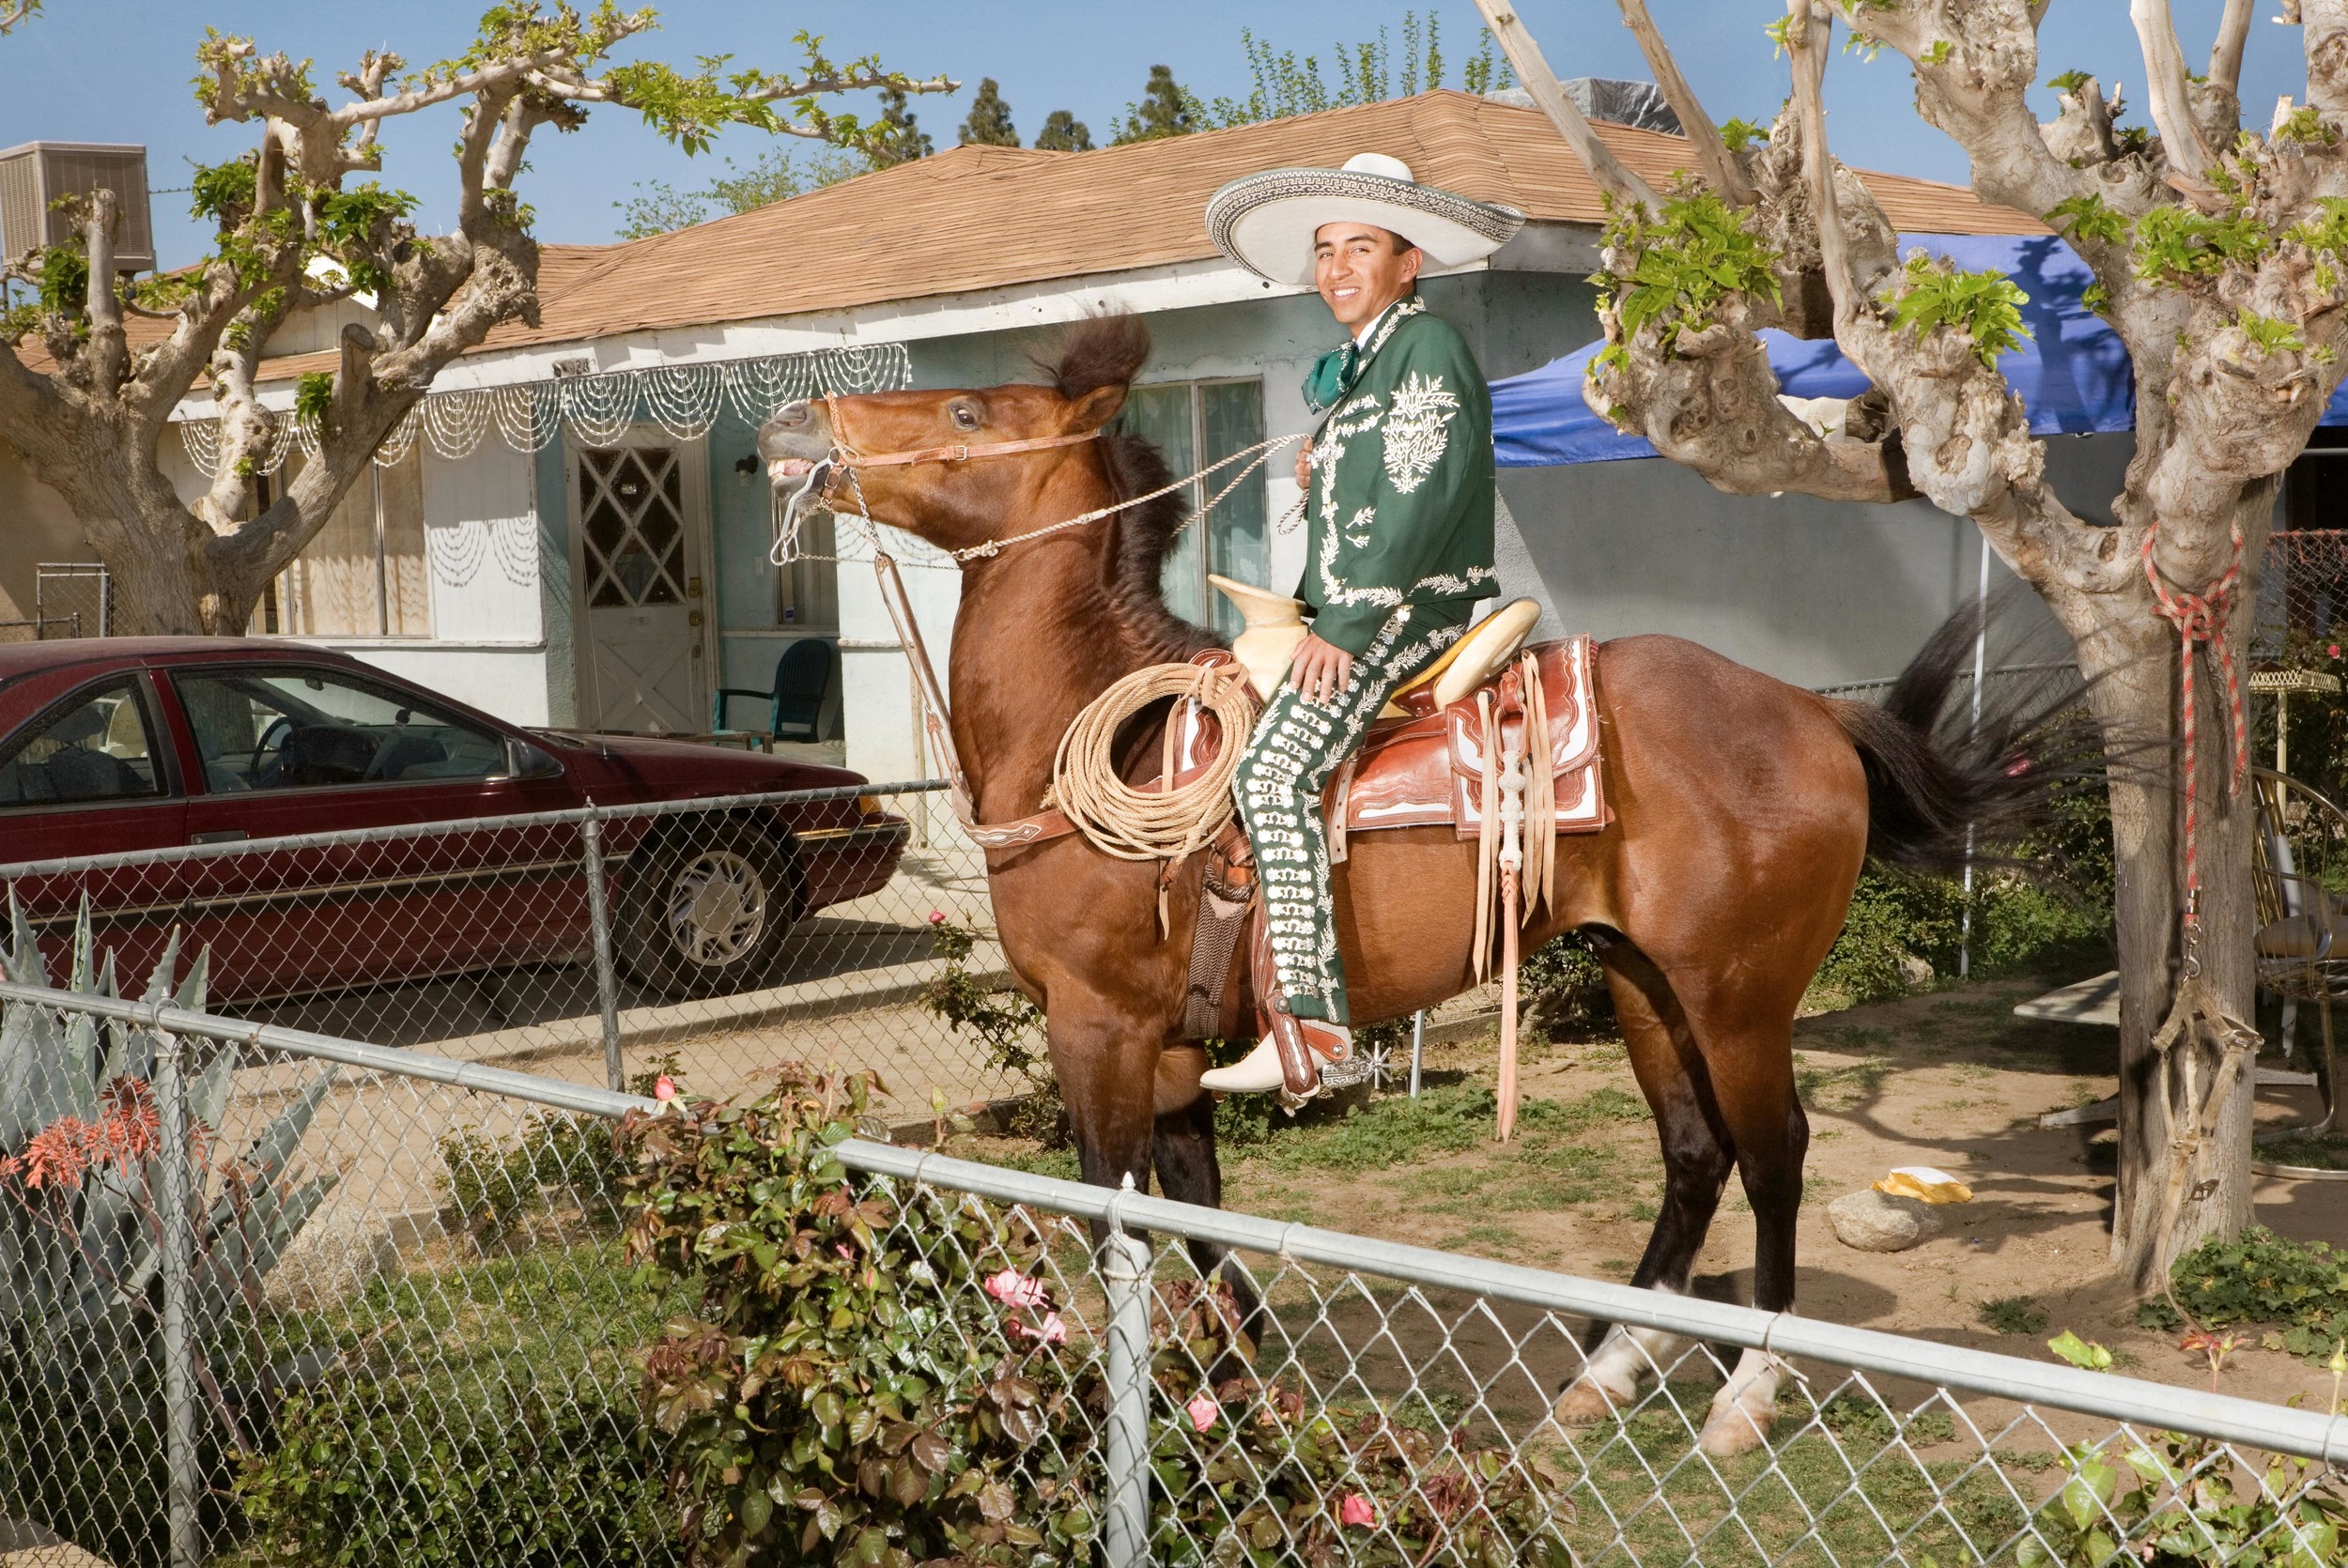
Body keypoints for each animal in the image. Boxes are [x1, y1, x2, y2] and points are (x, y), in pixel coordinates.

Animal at [761, 321, 2066, 1455]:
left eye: (967, 412)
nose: (790, 420)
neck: (1102, 727)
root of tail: (1812, 714)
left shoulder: (1096, 1028)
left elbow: (1116, 1213)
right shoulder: (1168, 1046)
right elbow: (1197, 1209)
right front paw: (1233, 1376)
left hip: (1739, 997)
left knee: (1773, 1153)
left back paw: (1744, 1391)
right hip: (1644, 982)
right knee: (1695, 1156)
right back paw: (1607, 1370)